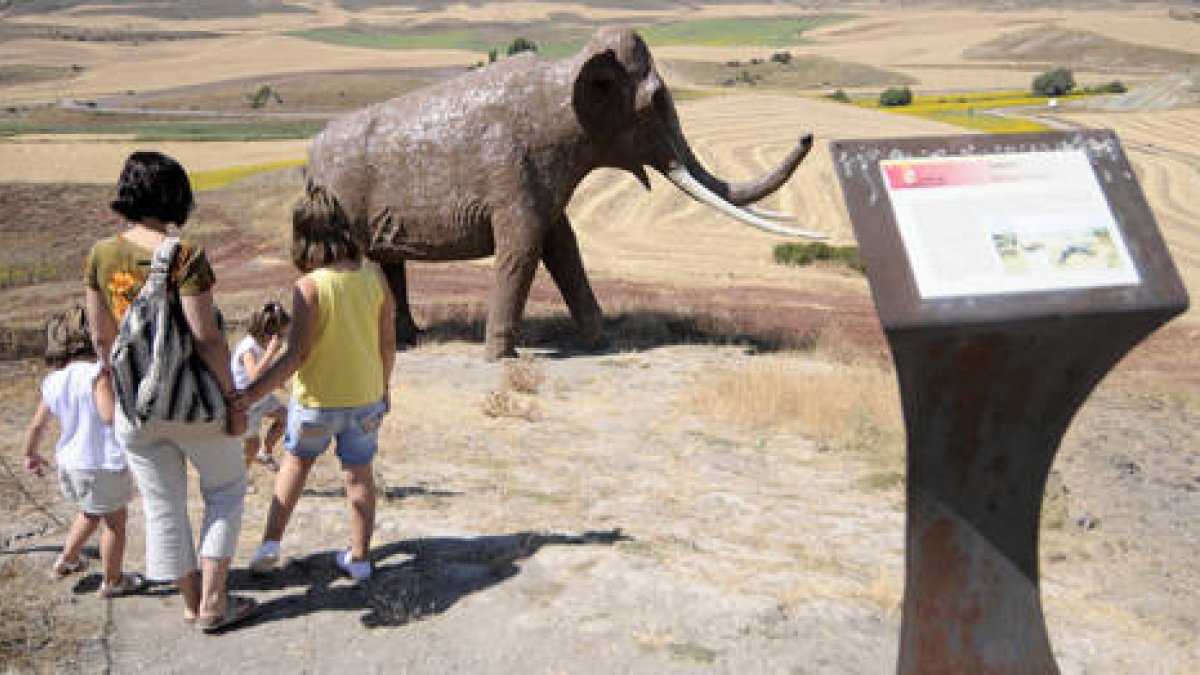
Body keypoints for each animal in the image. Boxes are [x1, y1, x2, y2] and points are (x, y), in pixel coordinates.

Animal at [305, 26, 824, 360]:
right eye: (656, 101)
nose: (808, 134)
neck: (563, 75)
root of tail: (312, 152)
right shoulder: (511, 169)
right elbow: (523, 248)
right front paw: (501, 359)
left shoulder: (542, 181)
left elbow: (564, 247)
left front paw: (599, 343)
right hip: (343, 207)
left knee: (389, 263)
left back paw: (408, 340)